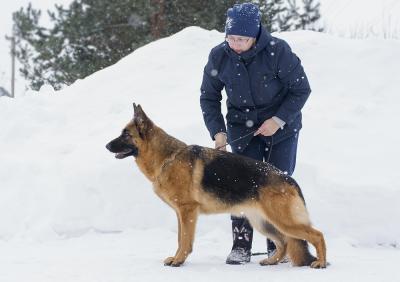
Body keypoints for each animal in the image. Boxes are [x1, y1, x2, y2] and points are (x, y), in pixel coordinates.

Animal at [107, 104, 328, 268]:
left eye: (126, 134)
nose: (106, 146)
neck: (167, 158)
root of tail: (288, 178)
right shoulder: (180, 213)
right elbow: (180, 238)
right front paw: (176, 257)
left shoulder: (187, 211)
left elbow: (185, 240)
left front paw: (179, 260)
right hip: (263, 222)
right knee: (283, 243)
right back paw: (271, 260)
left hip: (282, 221)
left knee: (317, 235)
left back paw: (321, 263)